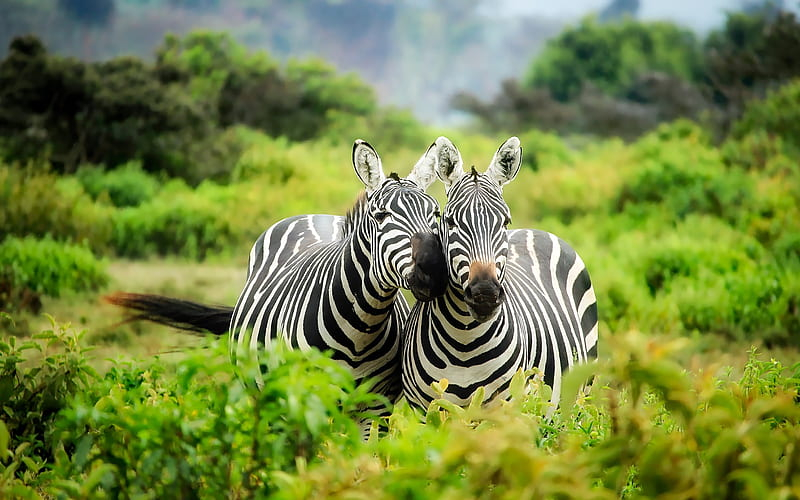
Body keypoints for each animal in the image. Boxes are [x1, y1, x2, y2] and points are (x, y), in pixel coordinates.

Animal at [107, 139, 447, 411]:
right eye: (381, 216)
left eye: (435, 213)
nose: (434, 270)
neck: (361, 329)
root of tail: (316, 215)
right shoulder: (304, 397)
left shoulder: (375, 407)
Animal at [401, 136, 598, 411]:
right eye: (450, 222)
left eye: (505, 221)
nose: (485, 294)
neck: (464, 342)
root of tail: (535, 230)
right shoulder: (425, 410)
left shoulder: (504, 409)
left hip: (580, 394)